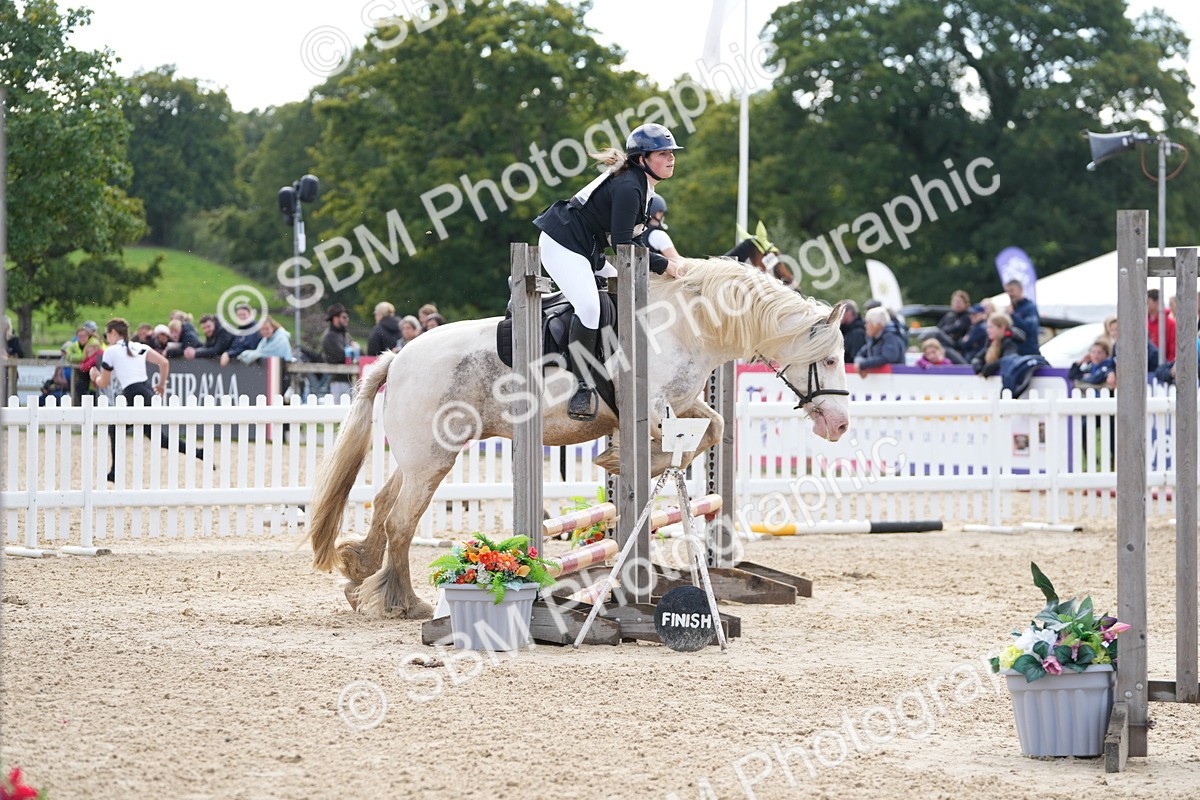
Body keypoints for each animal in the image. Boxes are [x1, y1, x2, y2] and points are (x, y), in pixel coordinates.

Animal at [307, 255, 849, 618]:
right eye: (827, 359)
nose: (840, 425)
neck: (690, 324)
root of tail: (399, 358)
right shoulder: (649, 406)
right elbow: (663, 438)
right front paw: (620, 460)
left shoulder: (684, 403)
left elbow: (712, 426)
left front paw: (624, 460)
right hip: (432, 457)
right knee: (401, 521)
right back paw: (404, 602)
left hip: (421, 457)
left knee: (383, 504)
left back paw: (360, 576)